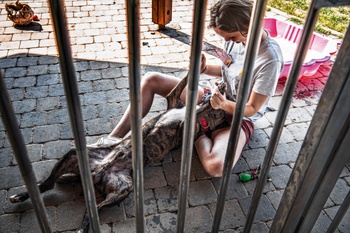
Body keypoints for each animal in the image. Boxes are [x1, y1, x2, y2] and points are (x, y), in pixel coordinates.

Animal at [9, 73, 228, 233]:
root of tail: (95, 174)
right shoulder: (173, 99)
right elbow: (185, 82)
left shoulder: (184, 128)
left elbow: (192, 117)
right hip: (73, 155)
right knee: (48, 184)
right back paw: (21, 196)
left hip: (124, 189)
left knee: (92, 210)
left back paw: (82, 227)